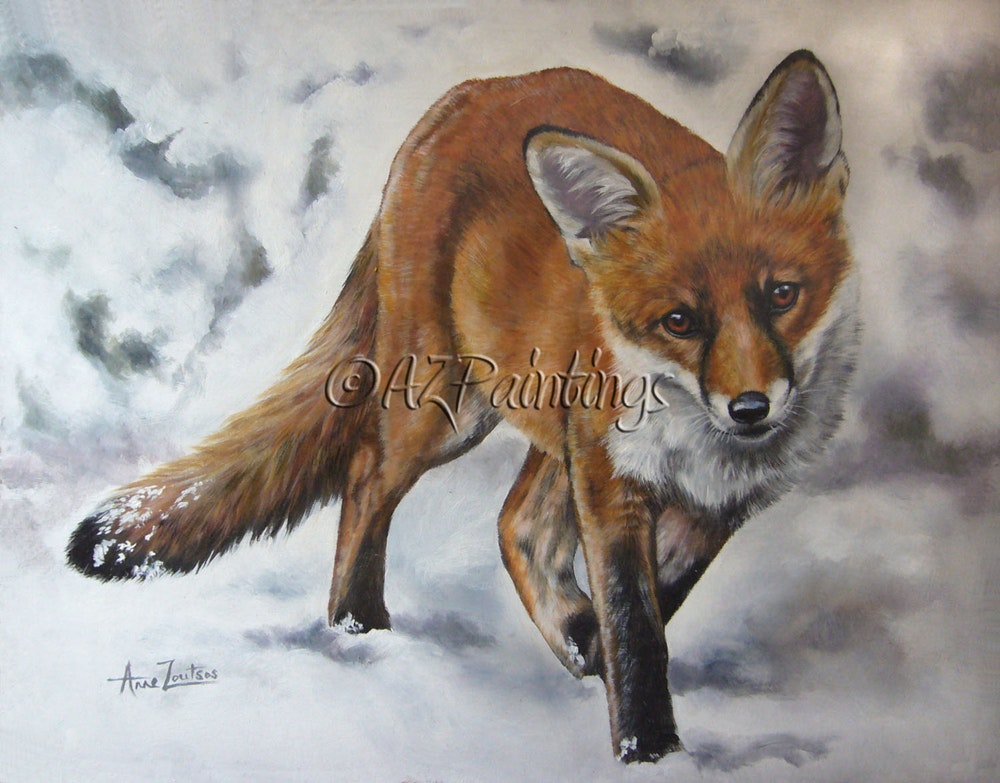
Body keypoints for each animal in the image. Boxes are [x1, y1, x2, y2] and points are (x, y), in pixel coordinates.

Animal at [67, 50, 857, 763]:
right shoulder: (612, 484)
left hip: (545, 421)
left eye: (781, 295)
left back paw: (562, 632)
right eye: (680, 322)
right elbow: (637, 626)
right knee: (366, 478)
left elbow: (659, 602)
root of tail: (471, 92)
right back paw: (356, 626)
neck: (699, 440)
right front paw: (648, 747)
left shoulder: (713, 505)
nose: (751, 408)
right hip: (442, 408)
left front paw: (599, 656)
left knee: (515, 525)